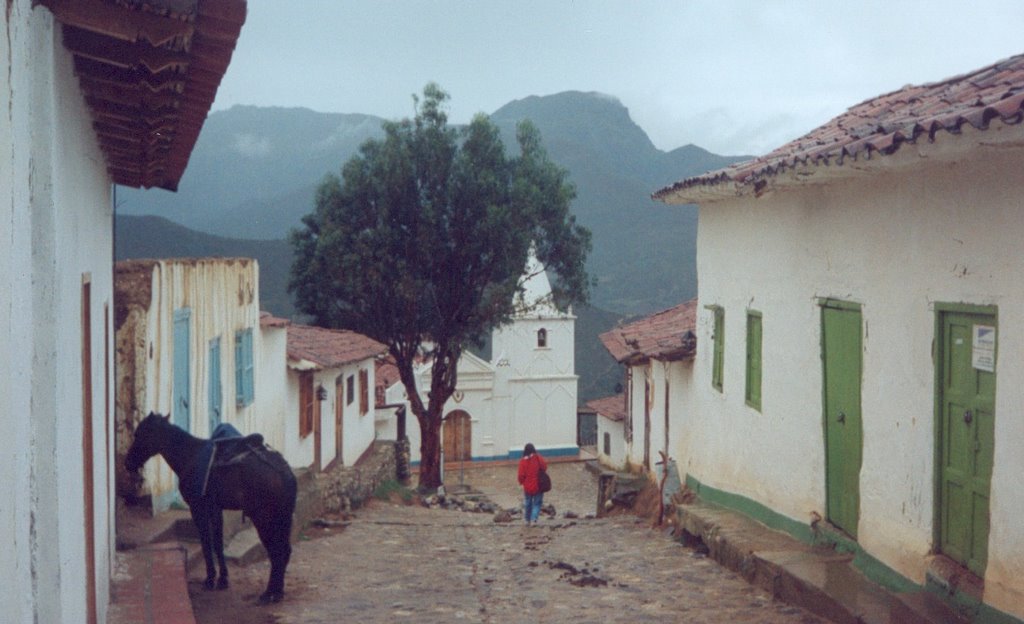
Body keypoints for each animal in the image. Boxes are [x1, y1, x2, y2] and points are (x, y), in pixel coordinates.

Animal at [124, 411, 296, 602]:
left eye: (139, 434)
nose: (127, 462)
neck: (190, 456)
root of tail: (283, 471)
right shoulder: (216, 509)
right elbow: (218, 543)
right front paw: (223, 579)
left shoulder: (198, 507)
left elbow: (206, 541)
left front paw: (210, 579)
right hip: (281, 519)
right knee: (284, 551)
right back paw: (277, 592)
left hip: (263, 519)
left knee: (277, 552)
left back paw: (269, 593)